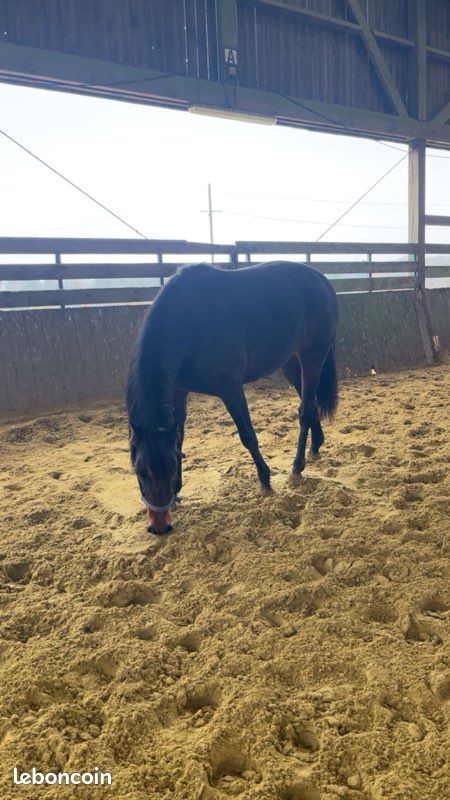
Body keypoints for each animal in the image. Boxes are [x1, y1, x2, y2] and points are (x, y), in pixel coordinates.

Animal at [126, 261, 339, 535]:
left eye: (170, 468)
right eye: (140, 471)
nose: (159, 526)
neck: (188, 323)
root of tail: (322, 280)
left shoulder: (230, 389)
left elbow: (247, 436)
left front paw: (265, 481)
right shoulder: (179, 391)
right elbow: (179, 439)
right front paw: (178, 491)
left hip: (312, 355)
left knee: (304, 410)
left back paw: (297, 467)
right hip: (291, 362)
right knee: (309, 402)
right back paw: (315, 446)